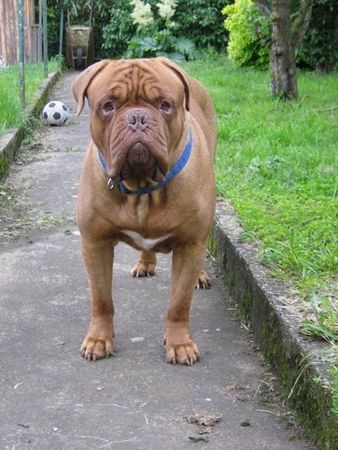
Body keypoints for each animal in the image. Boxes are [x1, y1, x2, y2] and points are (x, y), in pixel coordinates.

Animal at [72, 56, 217, 366]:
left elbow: (179, 303)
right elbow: (101, 299)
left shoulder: (190, 244)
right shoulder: (95, 243)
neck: (143, 187)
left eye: (164, 104)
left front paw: (180, 343)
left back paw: (199, 275)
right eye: (108, 105)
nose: (137, 117)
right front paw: (98, 339)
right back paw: (145, 263)